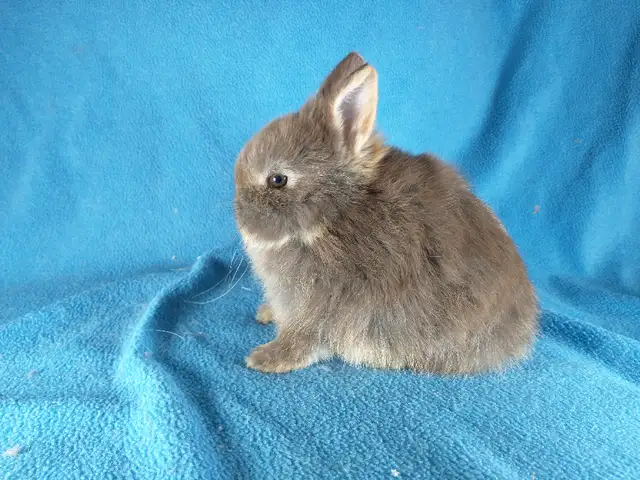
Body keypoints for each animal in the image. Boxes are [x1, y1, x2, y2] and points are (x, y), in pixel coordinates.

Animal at [234, 52, 539, 375]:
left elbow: (304, 339)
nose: (241, 218)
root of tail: (522, 332)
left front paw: (264, 358)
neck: (329, 218)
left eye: (278, 180)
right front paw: (266, 314)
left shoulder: (319, 307)